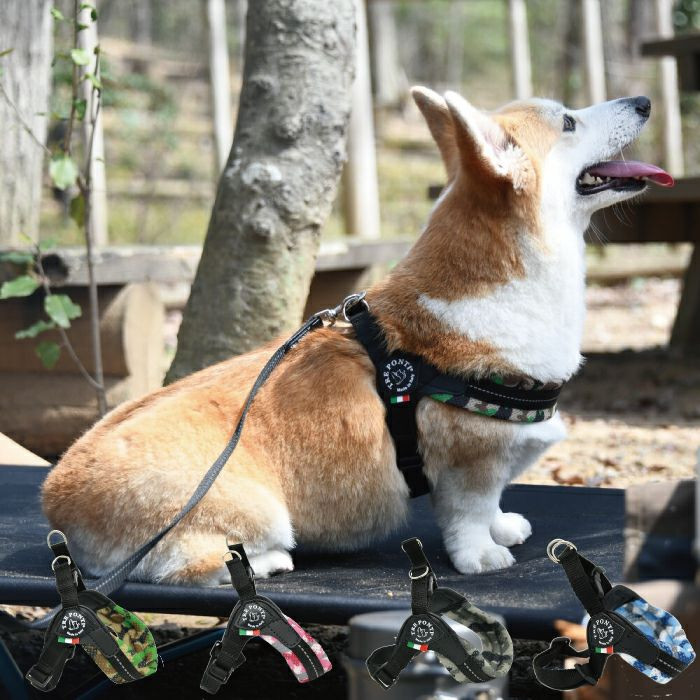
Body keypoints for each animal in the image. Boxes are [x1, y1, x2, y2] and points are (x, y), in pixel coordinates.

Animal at [42, 86, 672, 580]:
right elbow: (468, 513)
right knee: (186, 560)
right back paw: (267, 561)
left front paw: (504, 527)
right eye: (568, 122)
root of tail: (56, 500)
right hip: (255, 509)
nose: (645, 101)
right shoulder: (469, 460)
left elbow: (493, 504)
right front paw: (482, 556)